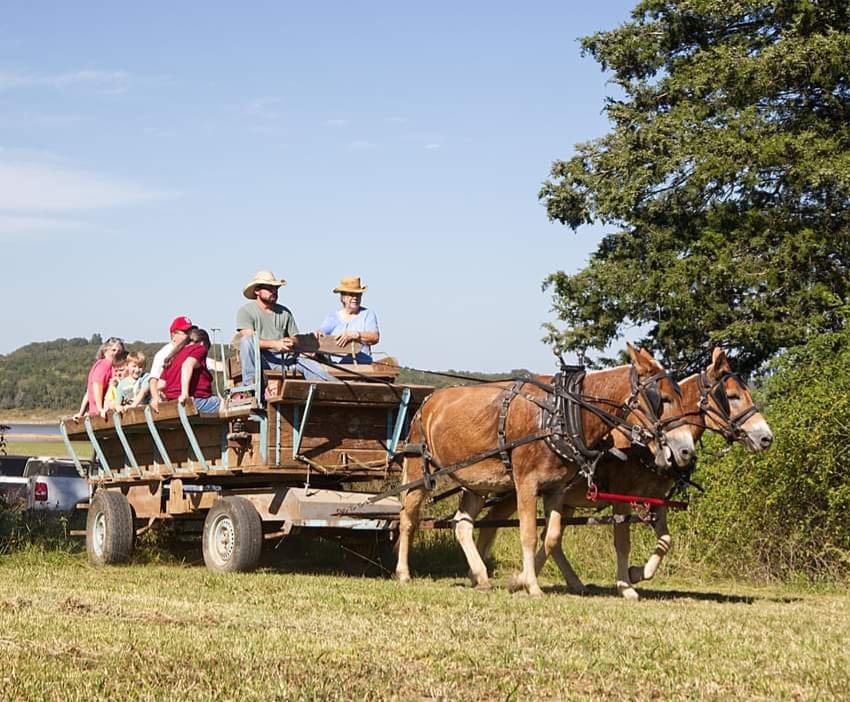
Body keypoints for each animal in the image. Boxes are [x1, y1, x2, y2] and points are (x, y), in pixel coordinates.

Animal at [392, 344, 696, 596]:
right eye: (664, 398)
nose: (685, 450)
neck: (562, 415)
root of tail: (430, 400)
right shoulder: (526, 483)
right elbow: (527, 533)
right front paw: (532, 585)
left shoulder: (556, 489)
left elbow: (551, 537)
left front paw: (520, 580)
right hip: (419, 469)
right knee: (408, 518)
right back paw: (404, 573)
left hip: (478, 482)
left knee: (462, 525)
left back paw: (480, 576)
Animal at [474, 346, 772, 600]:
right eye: (732, 396)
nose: (767, 438)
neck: (641, 447)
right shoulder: (621, 497)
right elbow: (622, 542)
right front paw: (625, 585)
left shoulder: (656, 500)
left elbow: (665, 540)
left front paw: (637, 573)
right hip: (516, 490)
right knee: (492, 523)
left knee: (549, 539)